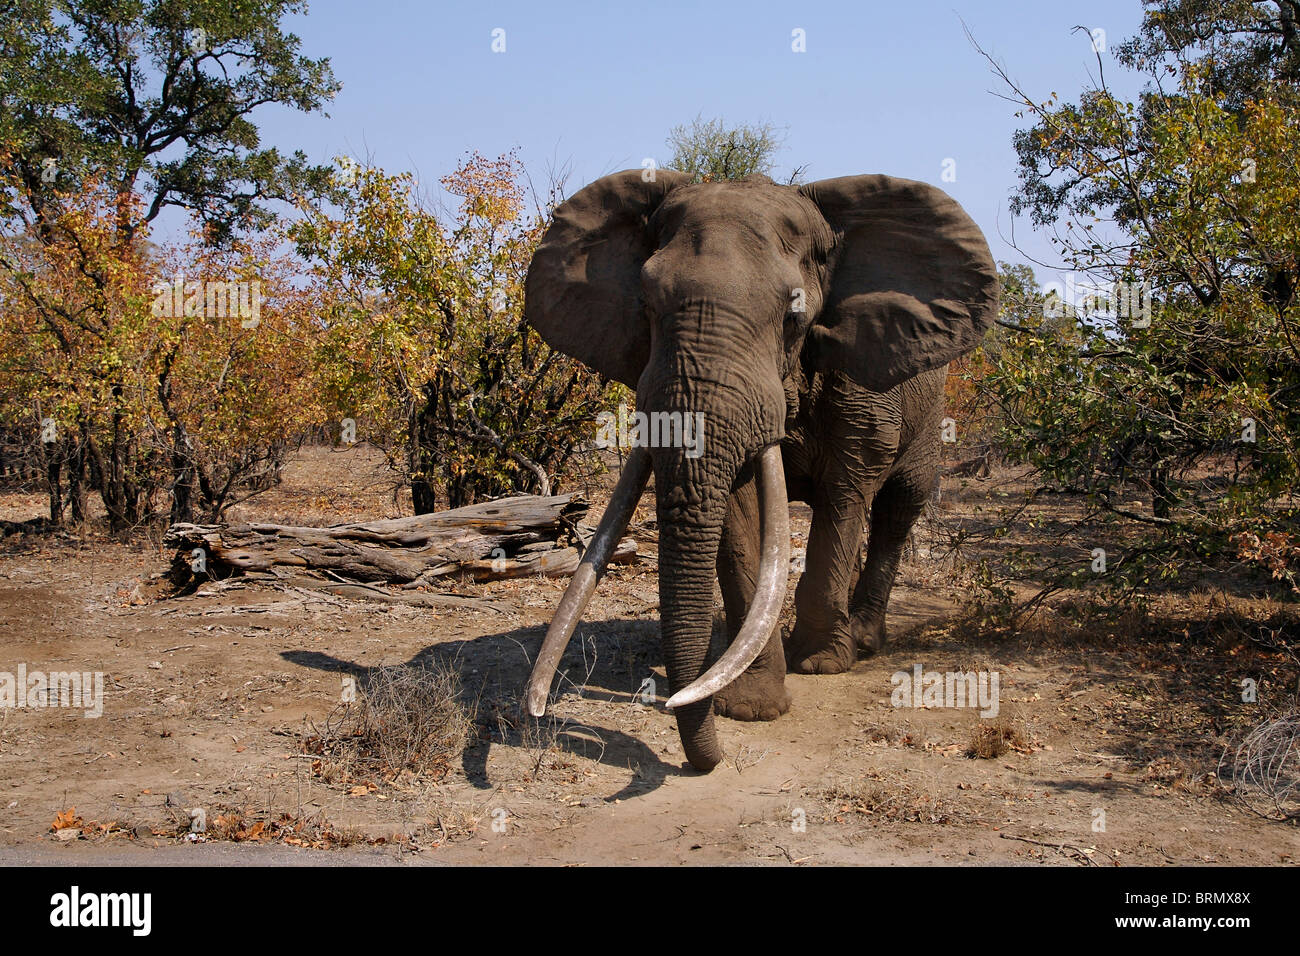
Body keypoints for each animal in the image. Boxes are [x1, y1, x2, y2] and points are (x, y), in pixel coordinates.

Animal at [520, 169, 999, 772]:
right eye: (646, 306)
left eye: (794, 317)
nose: (702, 758)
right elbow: (738, 509)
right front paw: (748, 708)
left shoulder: (861, 387)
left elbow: (847, 490)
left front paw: (820, 664)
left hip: (930, 408)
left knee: (898, 505)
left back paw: (864, 640)